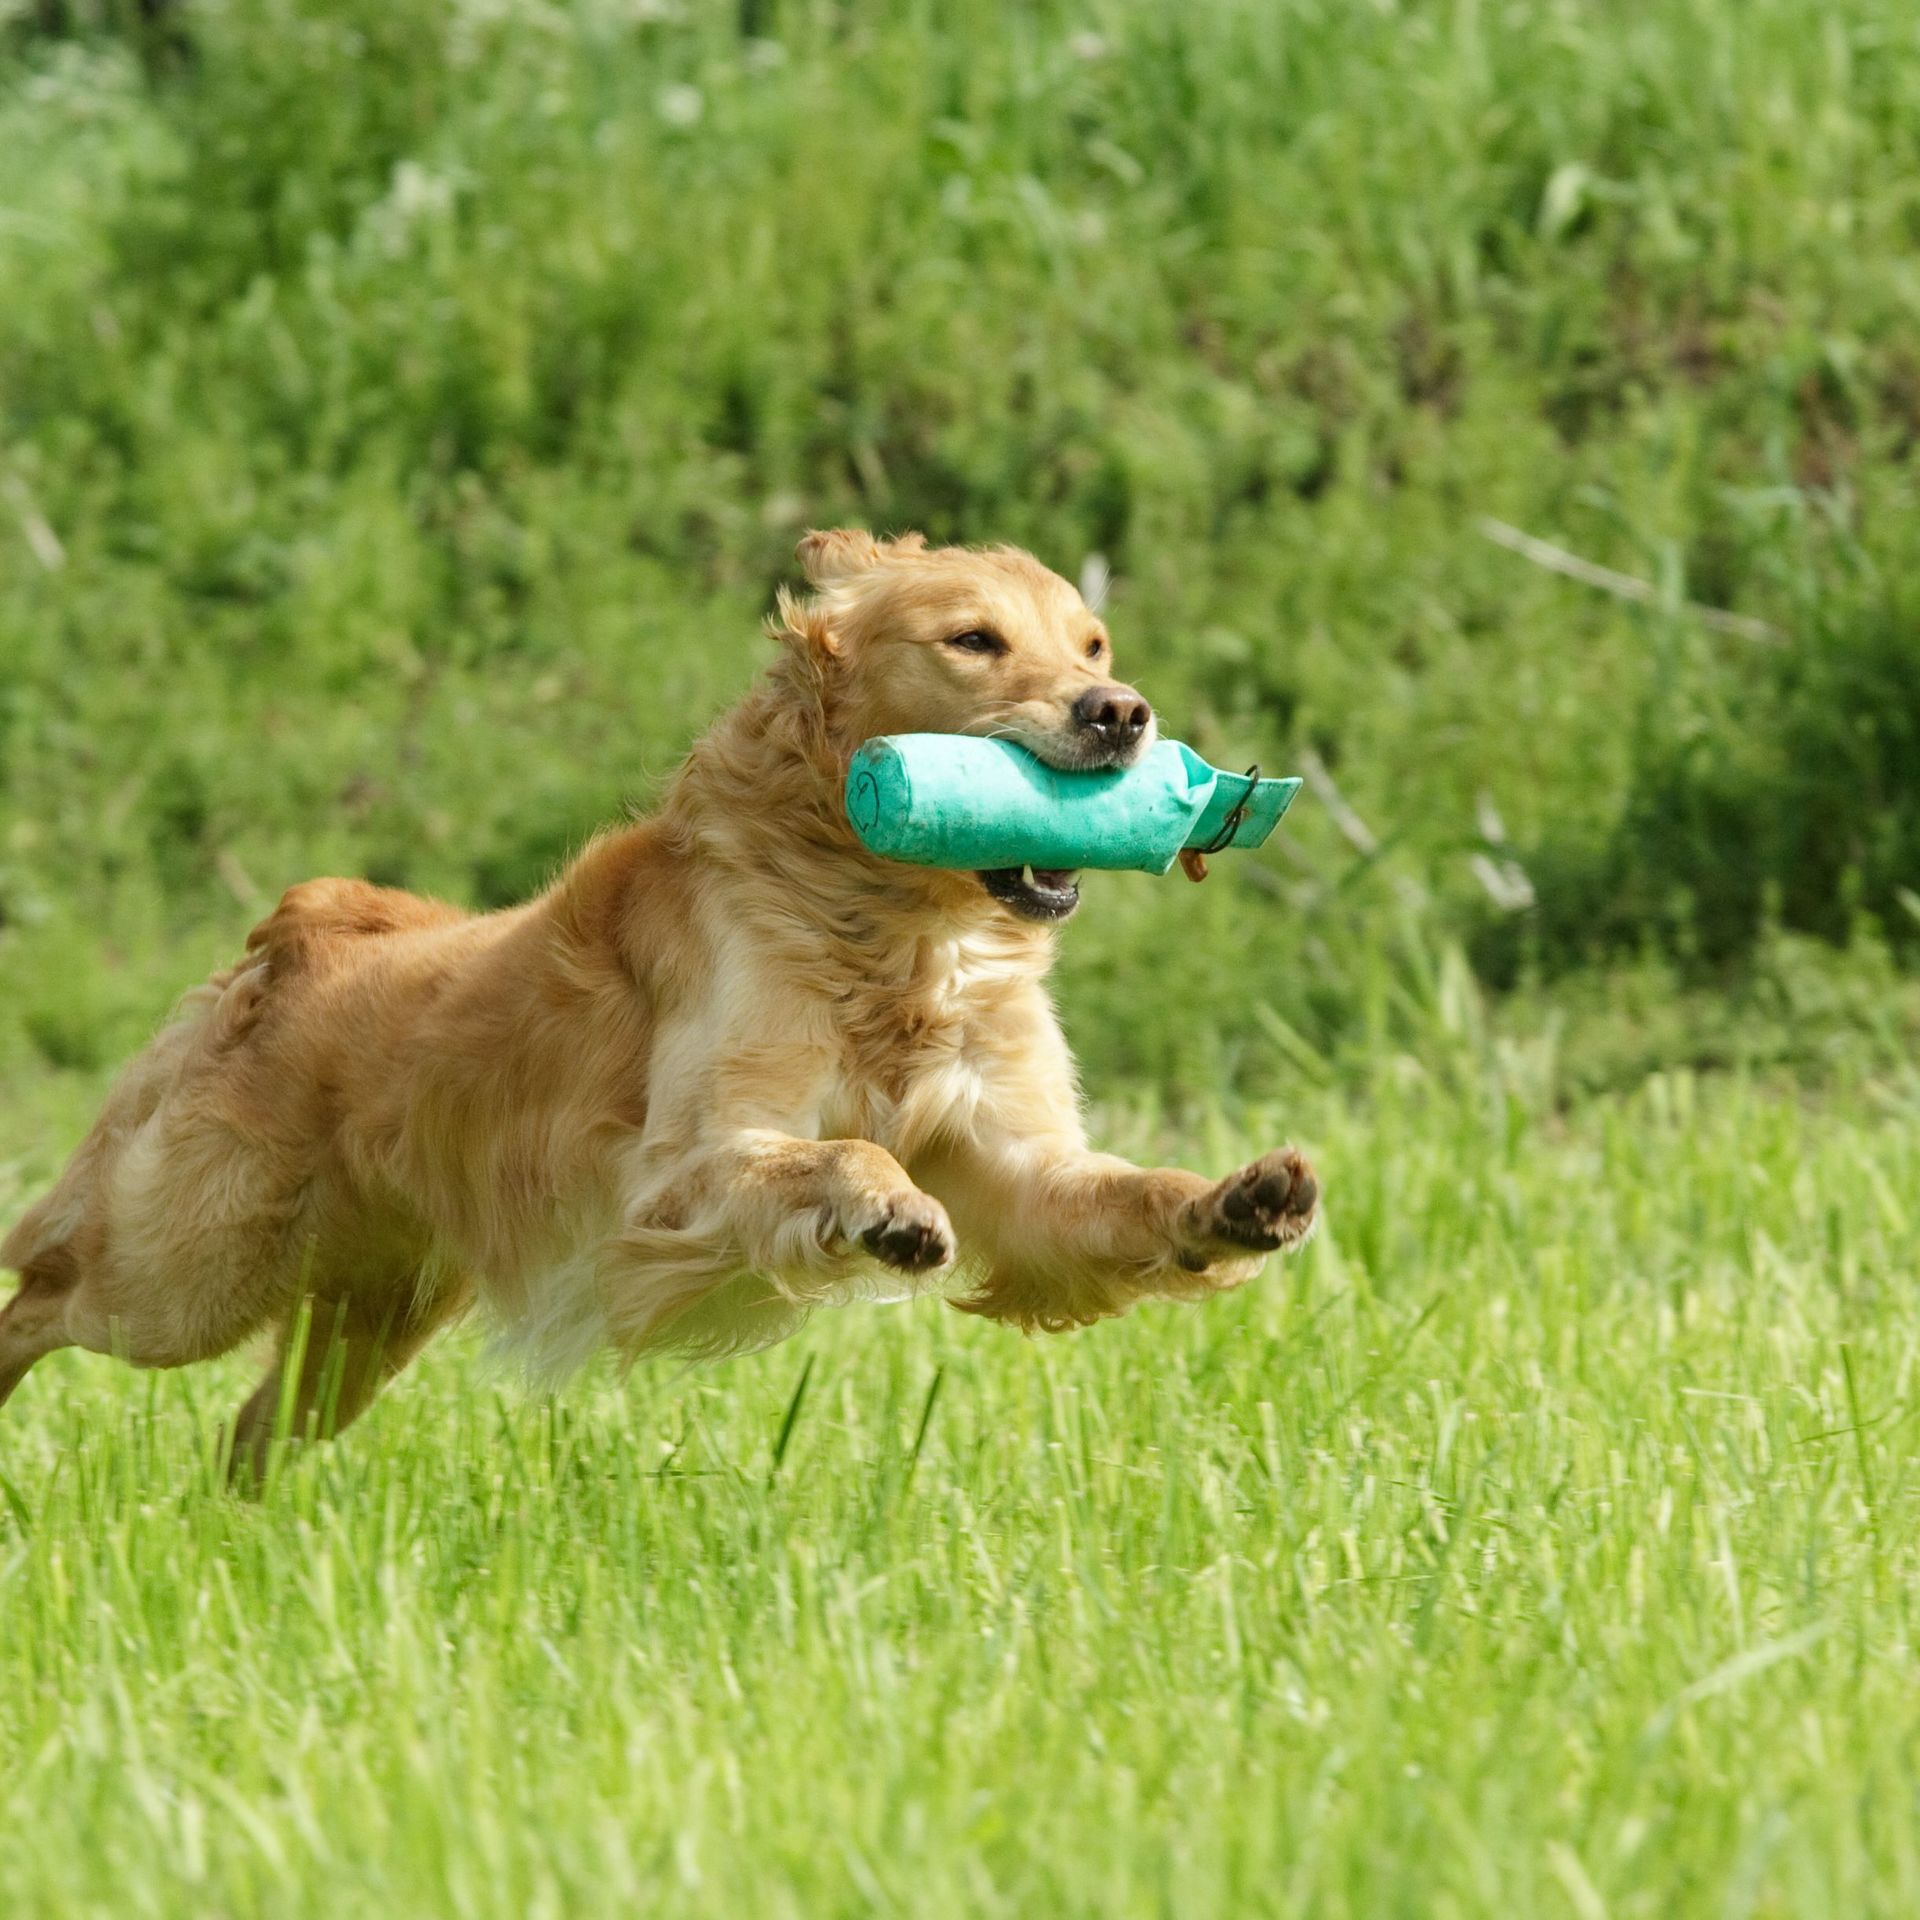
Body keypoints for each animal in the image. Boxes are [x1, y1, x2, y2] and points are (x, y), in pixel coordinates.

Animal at [0, 533, 1313, 1474]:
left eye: (1092, 644)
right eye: (974, 640)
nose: (1121, 712)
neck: (891, 930)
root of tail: (305, 924)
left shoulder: (1020, 1167)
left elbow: (1125, 1196)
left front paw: (1243, 1199)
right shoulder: (676, 1169)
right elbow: (834, 1152)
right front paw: (887, 1207)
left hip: (361, 1317)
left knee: (247, 1435)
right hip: (185, 1267)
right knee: (42, 1293)